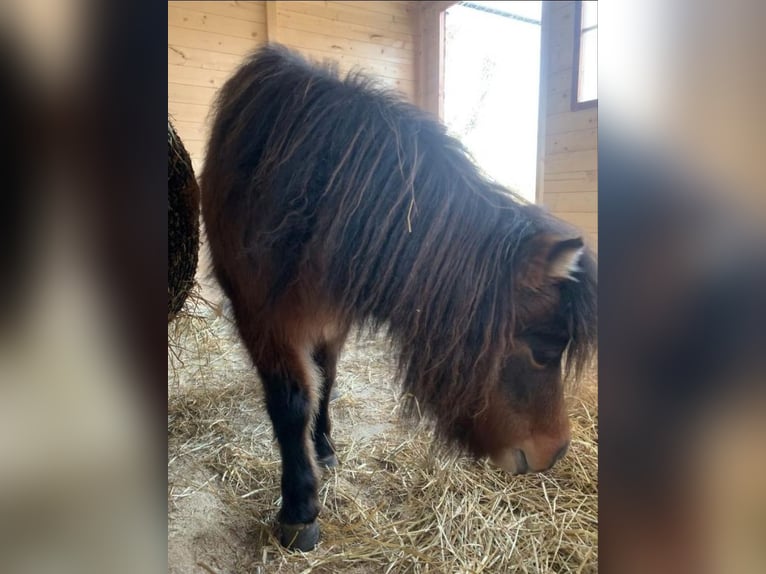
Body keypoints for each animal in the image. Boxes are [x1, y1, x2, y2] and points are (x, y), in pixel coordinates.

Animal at [202, 44, 600, 548]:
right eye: (544, 350)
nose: (557, 450)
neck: (317, 201)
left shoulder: (334, 318)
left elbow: (326, 380)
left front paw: (323, 449)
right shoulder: (264, 322)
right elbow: (291, 404)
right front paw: (299, 509)